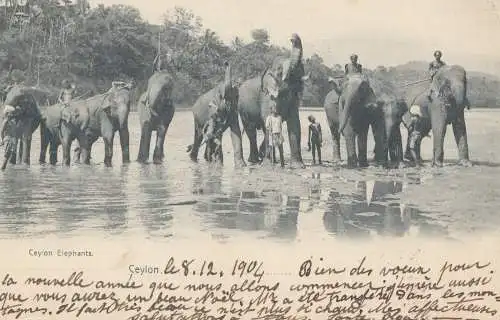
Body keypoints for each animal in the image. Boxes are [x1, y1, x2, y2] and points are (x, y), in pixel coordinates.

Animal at [237, 34, 308, 169]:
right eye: (280, 70)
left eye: (300, 70)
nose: (293, 37)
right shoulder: (266, 95)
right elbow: (267, 119)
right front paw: (266, 163)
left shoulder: (293, 99)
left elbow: (295, 123)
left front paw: (298, 166)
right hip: (243, 110)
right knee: (251, 131)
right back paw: (255, 161)